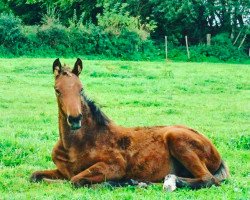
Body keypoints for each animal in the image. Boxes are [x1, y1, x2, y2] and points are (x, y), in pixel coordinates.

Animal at [30, 58, 229, 191]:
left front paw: (116, 183)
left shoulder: (115, 165)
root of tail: (216, 152)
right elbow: (35, 176)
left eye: (81, 89)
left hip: (177, 138)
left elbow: (75, 181)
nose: (75, 119)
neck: (76, 146)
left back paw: (166, 182)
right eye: (57, 90)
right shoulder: (62, 170)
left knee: (208, 179)